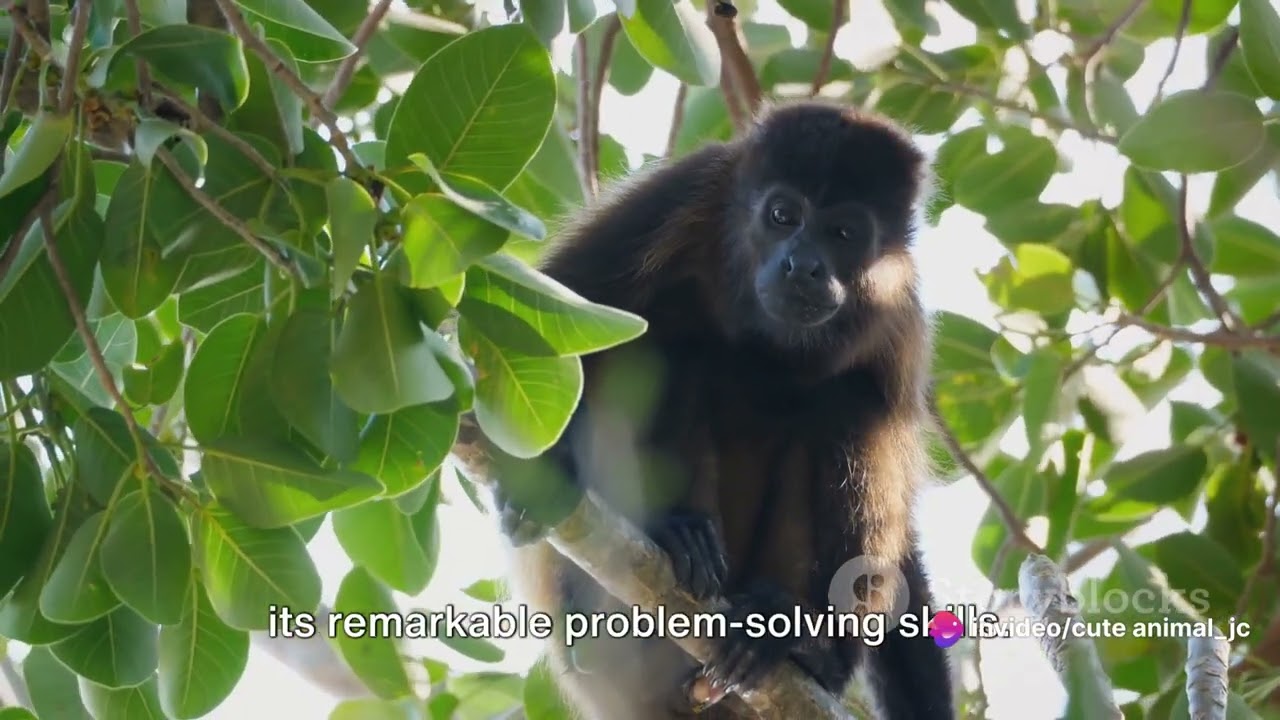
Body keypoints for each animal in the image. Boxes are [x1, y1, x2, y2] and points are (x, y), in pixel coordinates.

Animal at [489, 100, 954, 720]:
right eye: (782, 214)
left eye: (843, 233)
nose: (802, 265)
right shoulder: (687, 192)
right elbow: (555, 309)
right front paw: (543, 476)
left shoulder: (898, 311)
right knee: (670, 342)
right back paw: (674, 537)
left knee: (851, 405)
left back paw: (793, 640)